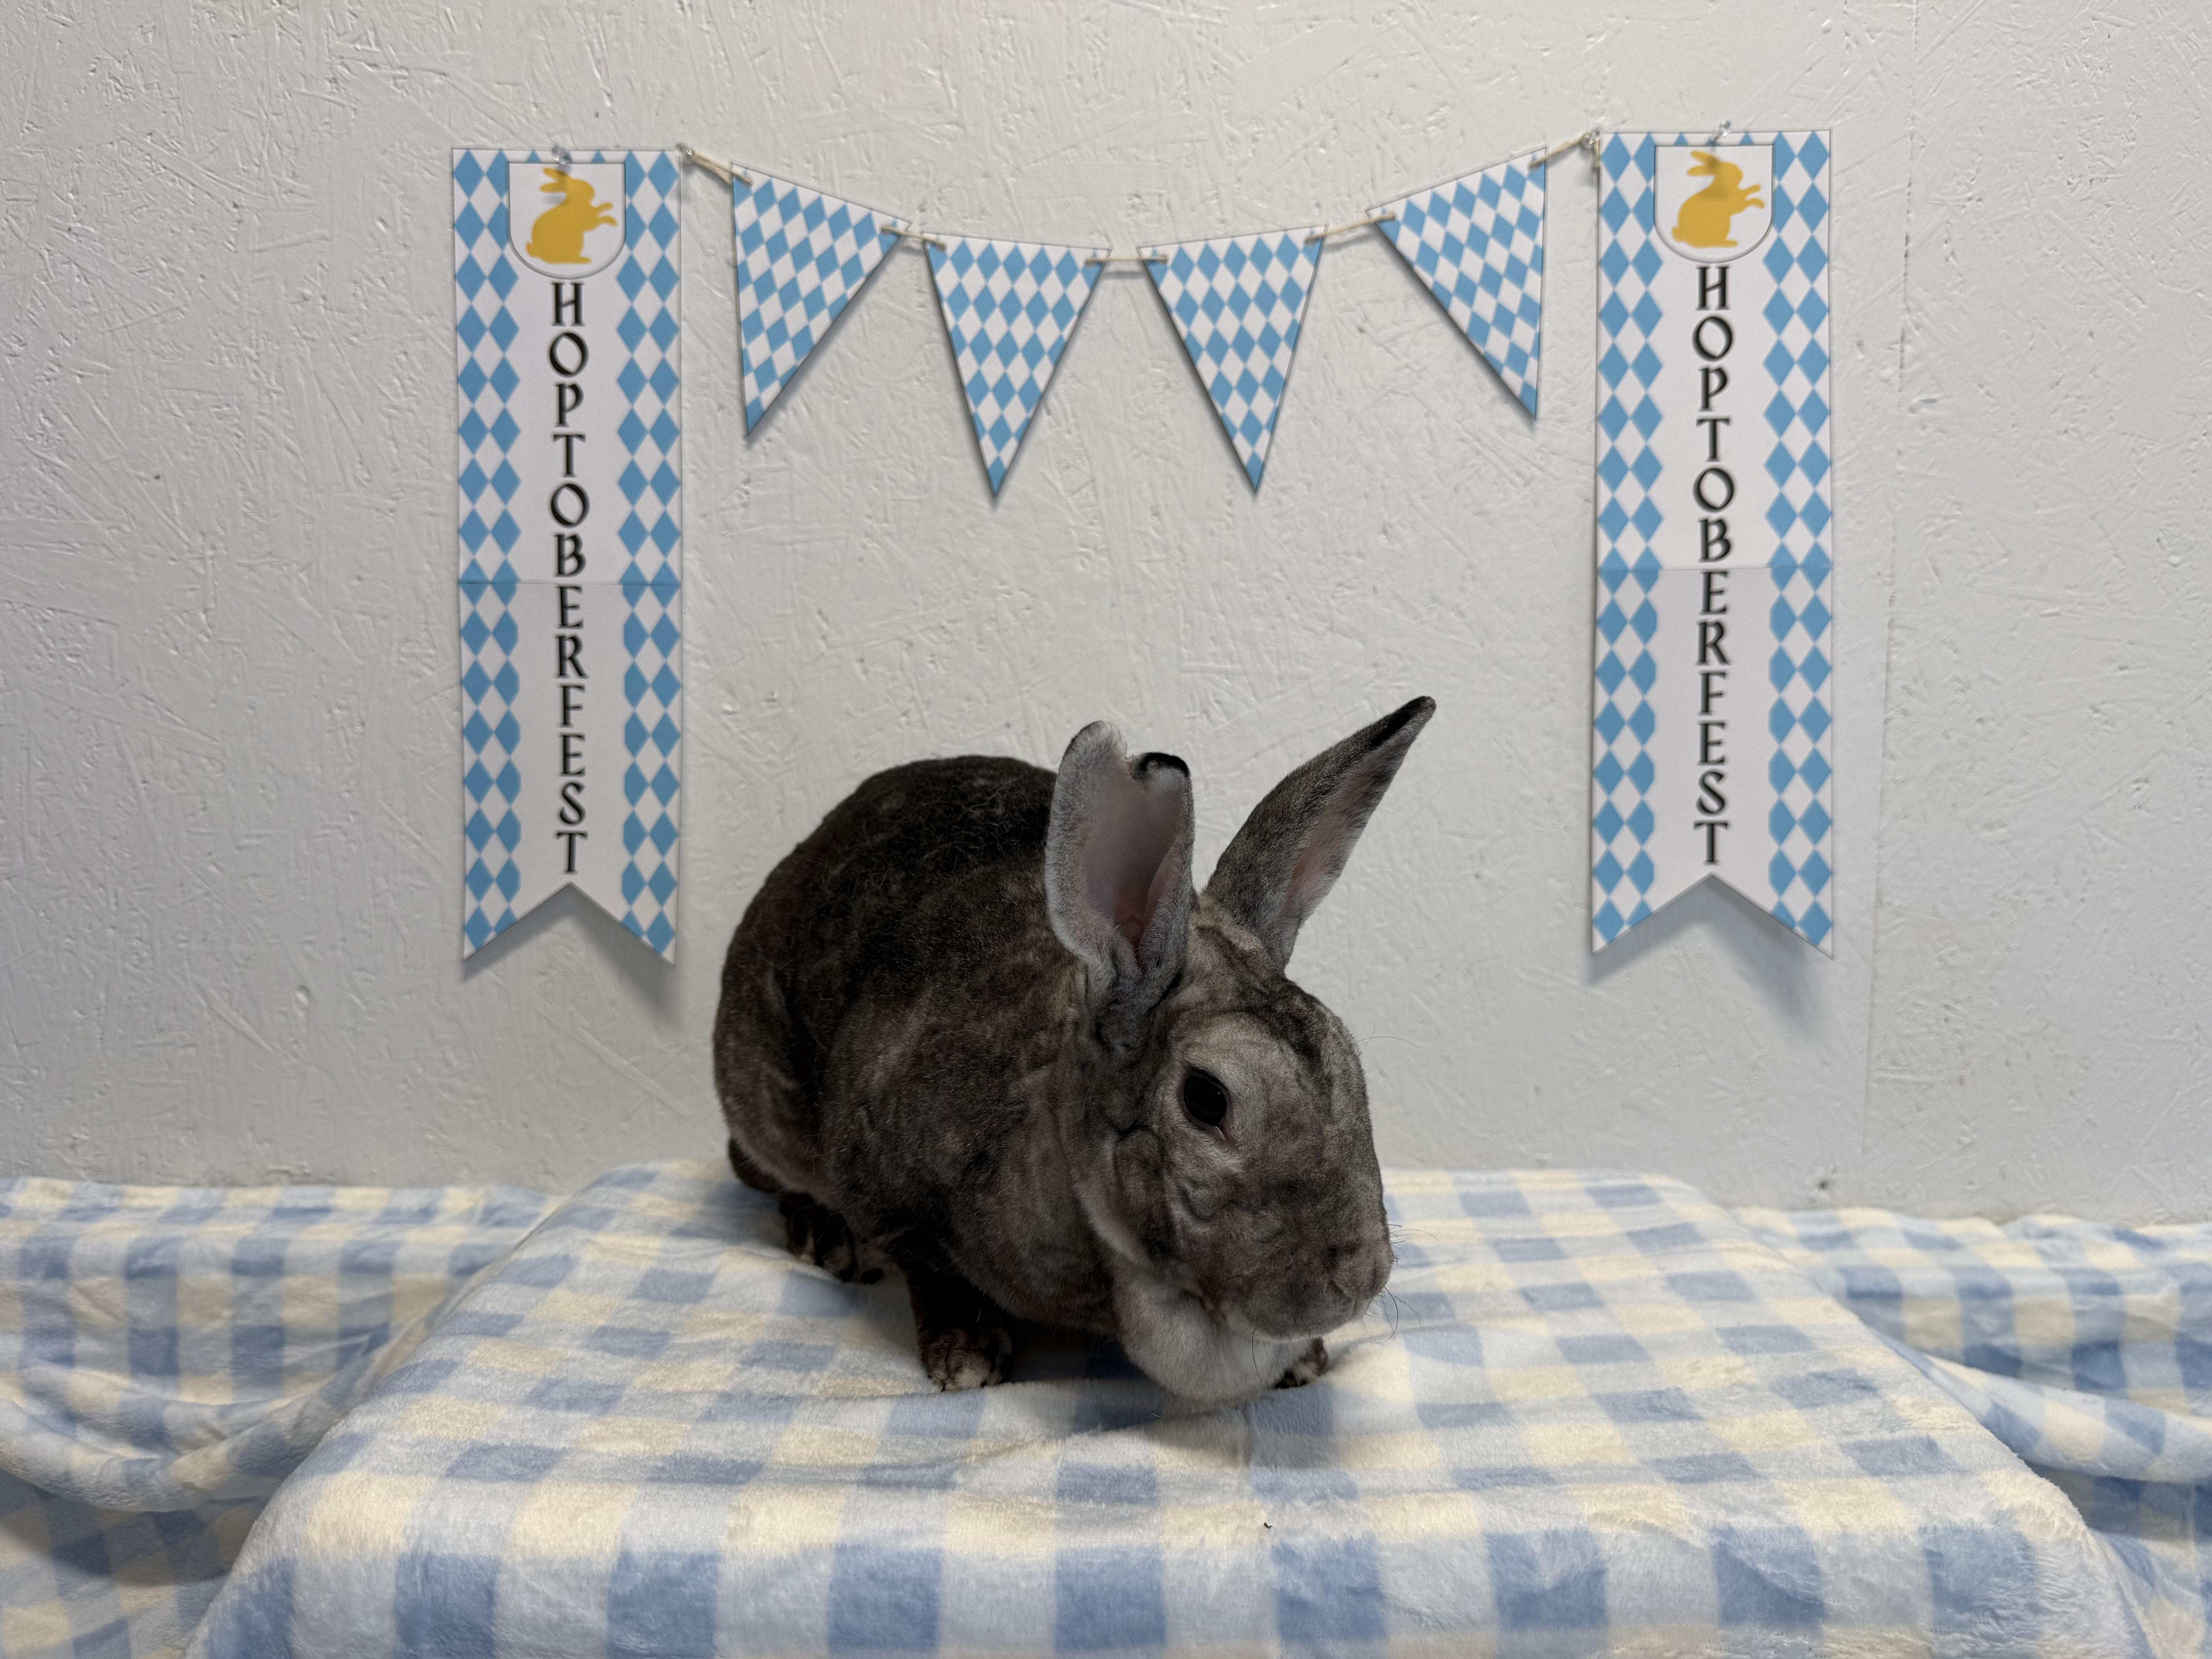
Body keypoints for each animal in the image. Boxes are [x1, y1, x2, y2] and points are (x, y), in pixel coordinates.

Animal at [713, 698, 1434, 1404]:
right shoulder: (883, 1182)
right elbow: (932, 1272)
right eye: (1206, 1099)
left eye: (1345, 1055)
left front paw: (1305, 1362)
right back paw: (827, 1239)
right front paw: (967, 1357)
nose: (1359, 1280)